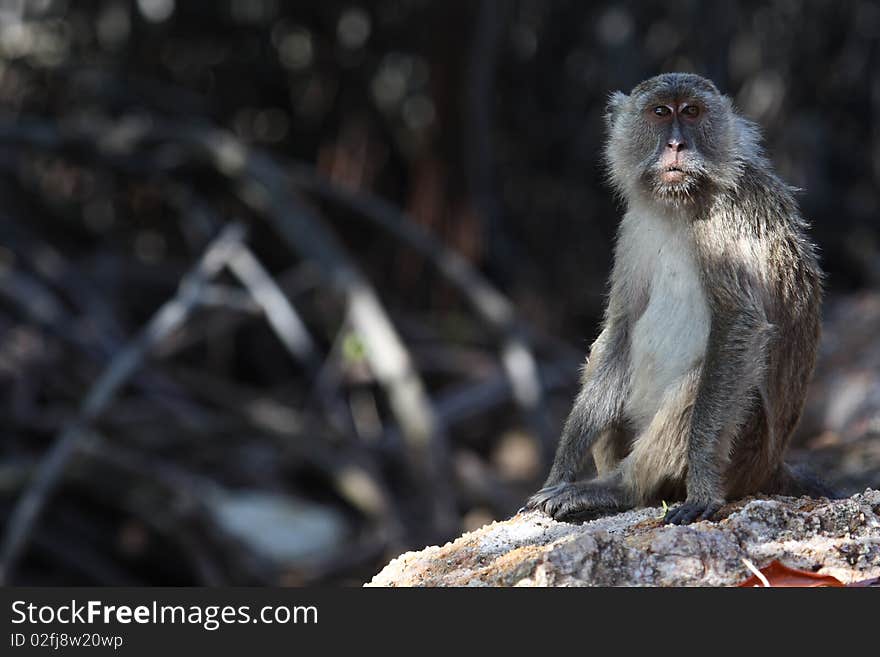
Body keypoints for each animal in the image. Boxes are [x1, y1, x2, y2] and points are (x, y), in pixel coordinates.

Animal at [524, 72, 836, 524]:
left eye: (691, 112)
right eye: (660, 112)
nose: (676, 145)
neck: (679, 204)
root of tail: (773, 467)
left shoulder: (727, 219)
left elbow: (737, 324)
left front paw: (702, 487)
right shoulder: (633, 228)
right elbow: (620, 330)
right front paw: (560, 467)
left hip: (748, 453)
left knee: (706, 381)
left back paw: (619, 489)